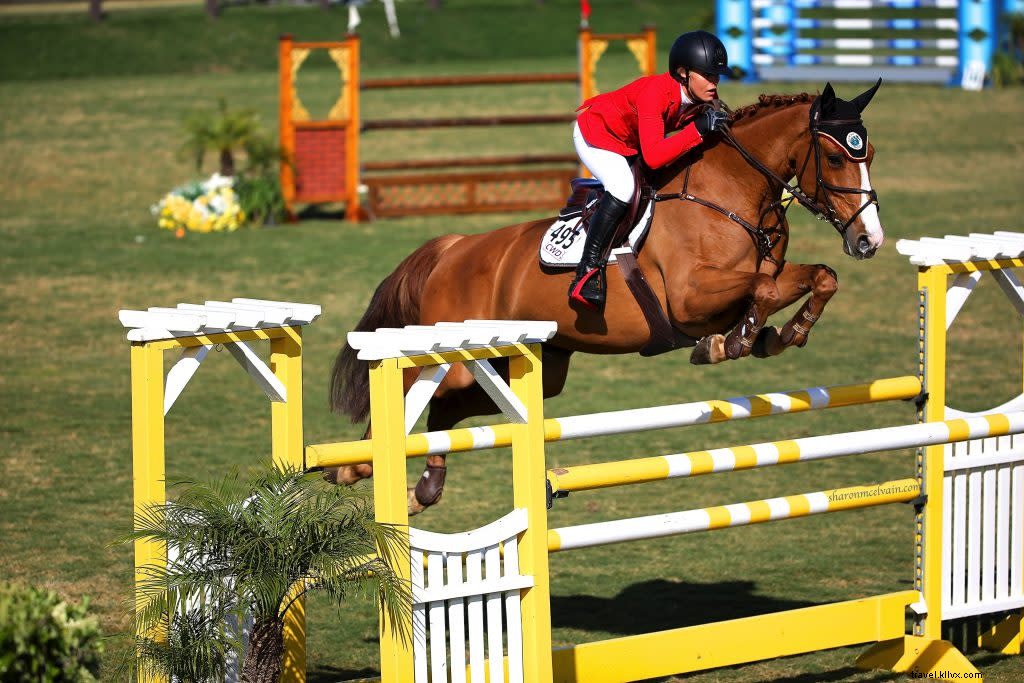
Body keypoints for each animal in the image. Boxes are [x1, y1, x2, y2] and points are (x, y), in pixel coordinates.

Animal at [326, 81, 886, 514]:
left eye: (871, 155)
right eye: (835, 156)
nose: (869, 241)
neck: (729, 193)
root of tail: (453, 248)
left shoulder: (763, 275)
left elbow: (819, 277)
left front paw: (783, 333)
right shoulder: (690, 299)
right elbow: (762, 292)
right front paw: (735, 341)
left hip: (532, 369)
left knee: (445, 409)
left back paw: (424, 487)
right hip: (452, 353)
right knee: (411, 393)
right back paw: (353, 467)